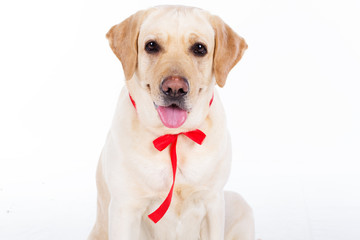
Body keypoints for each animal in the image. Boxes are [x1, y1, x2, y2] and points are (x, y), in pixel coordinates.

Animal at [88, 4, 255, 239]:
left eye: (199, 48)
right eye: (151, 46)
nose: (175, 88)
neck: (174, 136)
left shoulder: (213, 203)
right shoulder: (125, 209)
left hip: (237, 203)